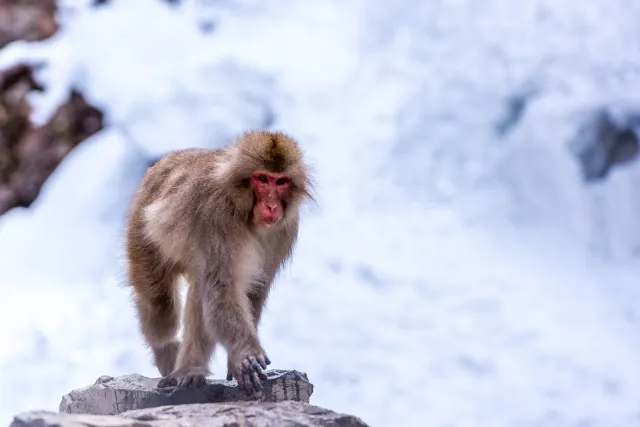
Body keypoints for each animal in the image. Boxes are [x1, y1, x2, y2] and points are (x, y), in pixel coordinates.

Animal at [124, 130, 312, 394]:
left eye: (281, 181)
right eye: (262, 179)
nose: (272, 206)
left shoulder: (283, 231)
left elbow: (253, 289)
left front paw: (236, 361)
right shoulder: (217, 217)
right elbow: (223, 289)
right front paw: (246, 353)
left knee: (198, 292)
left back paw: (189, 371)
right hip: (141, 233)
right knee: (160, 307)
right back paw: (167, 354)